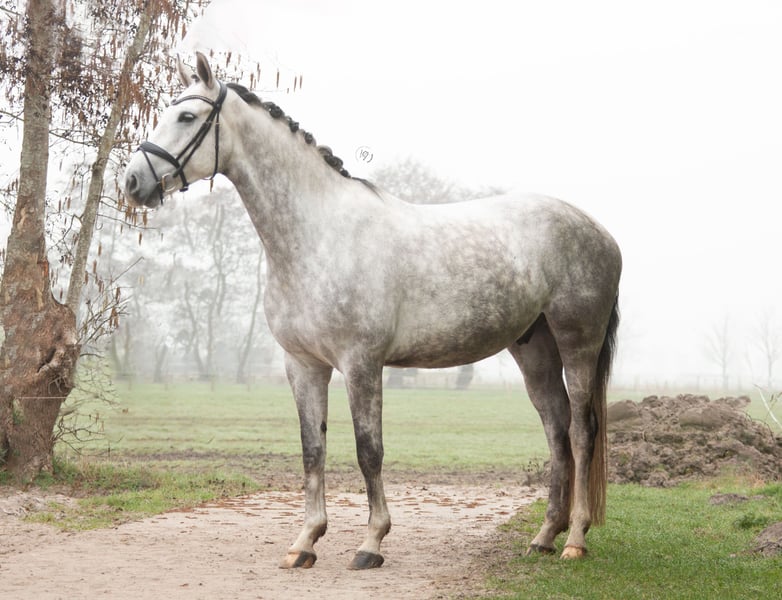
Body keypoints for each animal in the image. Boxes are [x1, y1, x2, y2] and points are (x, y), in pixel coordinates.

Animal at [124, 52, 621, 569]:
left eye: (187, 116)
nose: (133, 182)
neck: (319, 235)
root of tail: (599, 231)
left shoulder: (361, 363)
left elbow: (369, 451)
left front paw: (371, 543)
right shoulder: (303, 365)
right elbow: (313, 449)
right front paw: (305, 542)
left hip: (577, 342)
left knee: (581, 432)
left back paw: (575, 540)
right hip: (533, 348)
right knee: (556, 429)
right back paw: (544, 536)